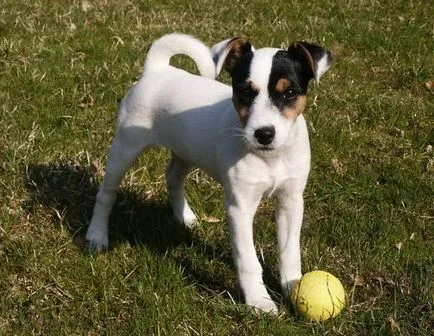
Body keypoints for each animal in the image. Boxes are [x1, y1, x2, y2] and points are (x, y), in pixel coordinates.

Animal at [85, 32, 332, 314]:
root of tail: (158, 69)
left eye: (290, 92)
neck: (270, 158)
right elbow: (248, 260)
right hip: (126, 147)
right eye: (244, 92)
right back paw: (96, 236)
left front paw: (293, 288)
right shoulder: (240, 208)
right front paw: (259, 301)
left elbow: (290, 253)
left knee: (173, 177)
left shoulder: (291, 201)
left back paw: (185, 217)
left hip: (187, 150)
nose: (264, 134)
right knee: (106, 194)